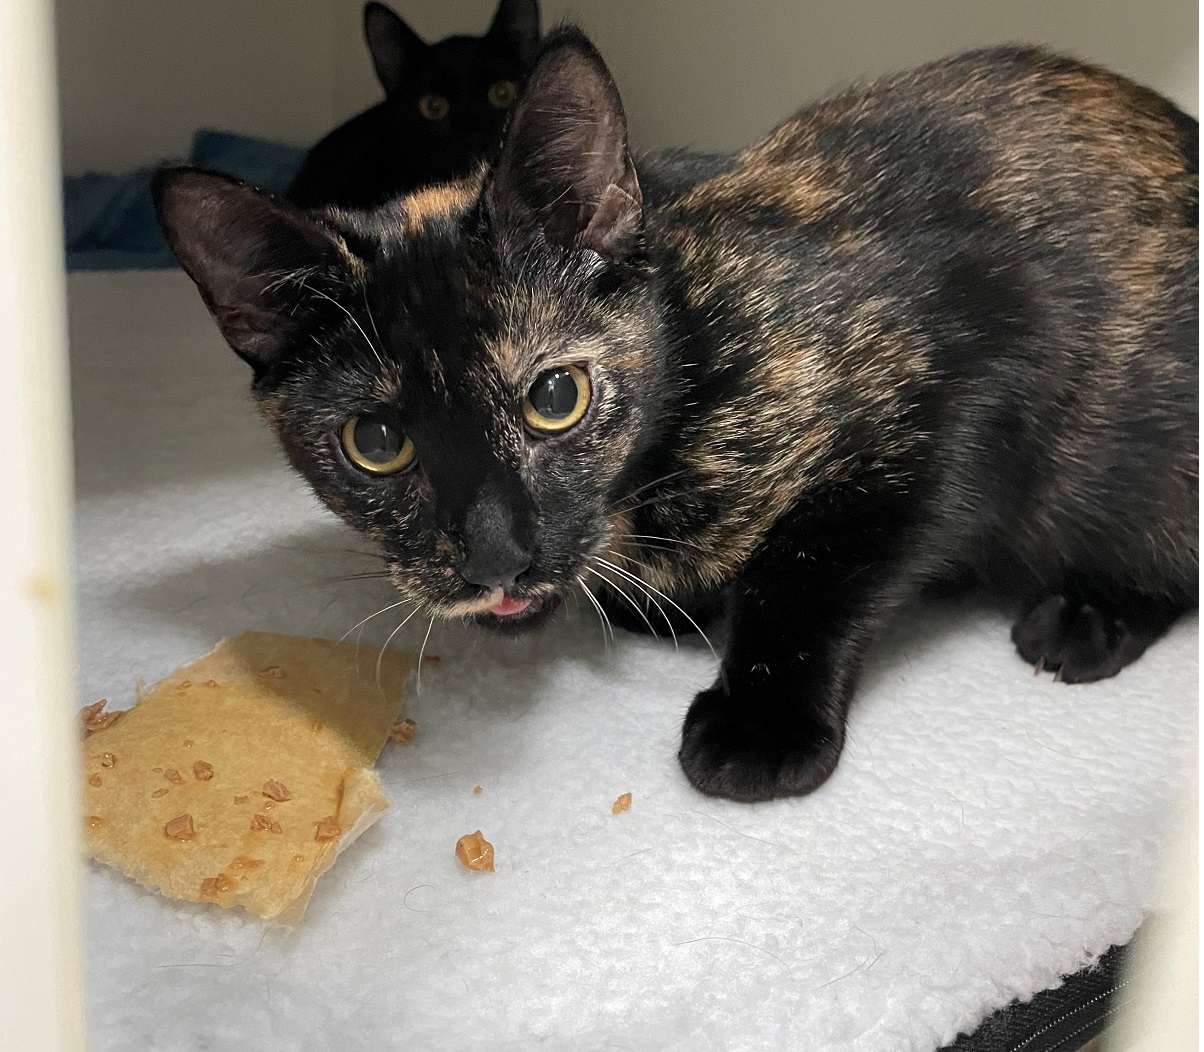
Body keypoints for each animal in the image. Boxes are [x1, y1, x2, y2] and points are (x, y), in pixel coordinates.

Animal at [152, 27, 1199, 803]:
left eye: (555, 398)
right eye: (375, 444)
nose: (495, 558)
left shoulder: (978, 372)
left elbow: (817, 565)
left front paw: (761, 720)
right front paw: (663, 605)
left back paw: (1090, 616)